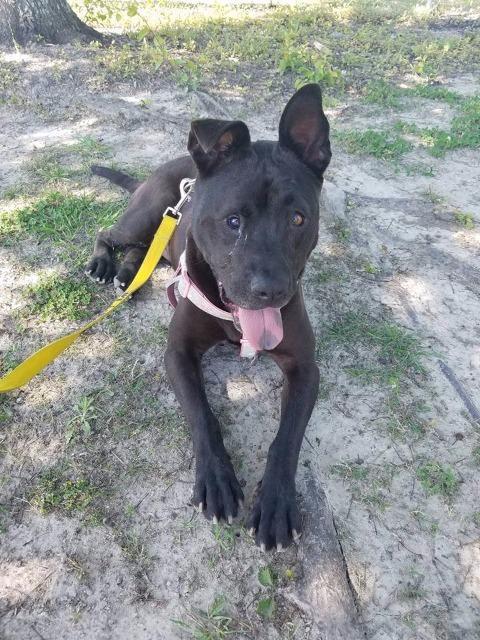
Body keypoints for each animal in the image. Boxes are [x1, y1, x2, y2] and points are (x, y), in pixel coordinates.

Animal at [86, 84, 332, 552]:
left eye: (298, 219)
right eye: (232, 221)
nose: (271, 291)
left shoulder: (306, 368)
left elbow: (287, 439)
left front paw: (276, 504)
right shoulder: (178, 353)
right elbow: (203, 416)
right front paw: (217, 481)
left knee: (141, 251)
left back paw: (128, 275)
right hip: (143, 215)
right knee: (107, 234)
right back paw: (104, 264)